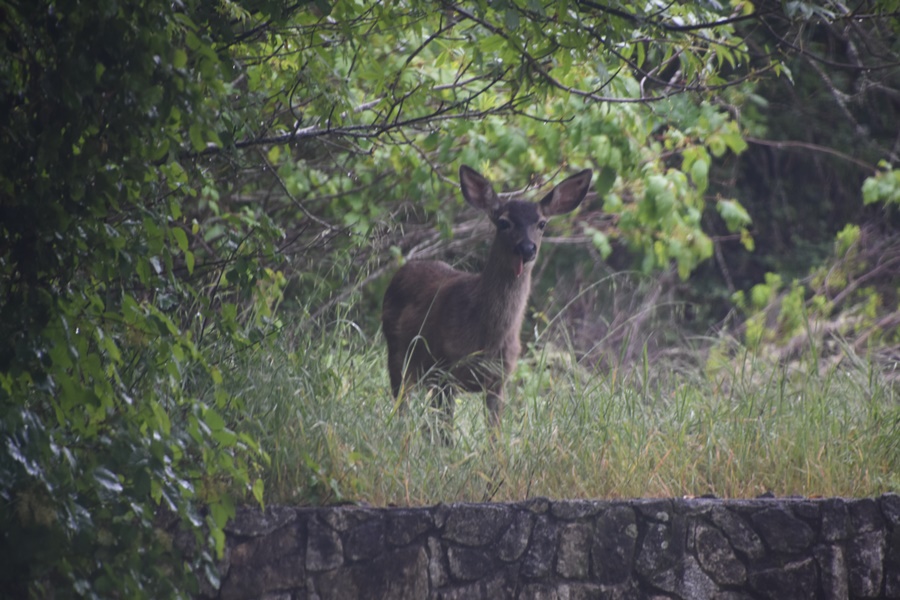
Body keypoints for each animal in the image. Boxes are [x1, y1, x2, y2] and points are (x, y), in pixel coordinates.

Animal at [384, 164, 596, 440]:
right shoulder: (444, 367)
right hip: (396, 352)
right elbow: (445, 435)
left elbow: (494, 435)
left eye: (542, 223)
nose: (527, 249)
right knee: (402, 404)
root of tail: (403, 268)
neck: (486, 336)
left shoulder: (499, 379)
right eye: (504, 222)